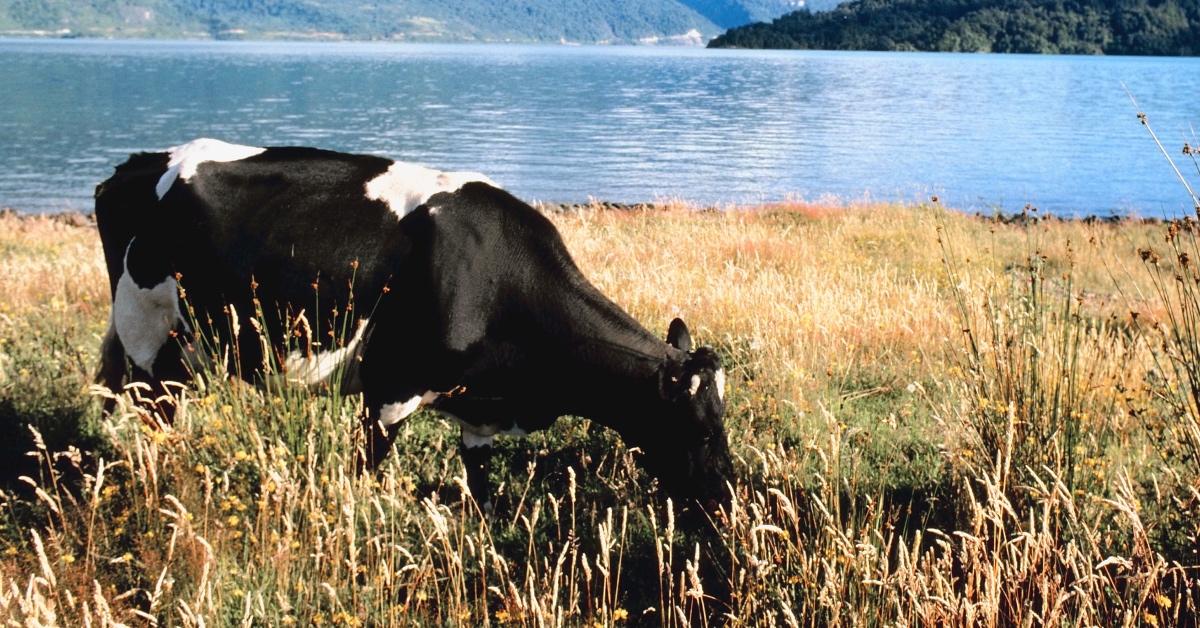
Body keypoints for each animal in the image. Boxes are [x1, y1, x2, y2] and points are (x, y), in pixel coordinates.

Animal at [93, 137, 734, 511]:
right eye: (702, 431)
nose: (727, 501)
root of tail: (139, 164)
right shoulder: (390, 390)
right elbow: (363, 477)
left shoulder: (480, 415)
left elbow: (481, 491)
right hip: (147, 335)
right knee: (150, 420)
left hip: (182, 352)